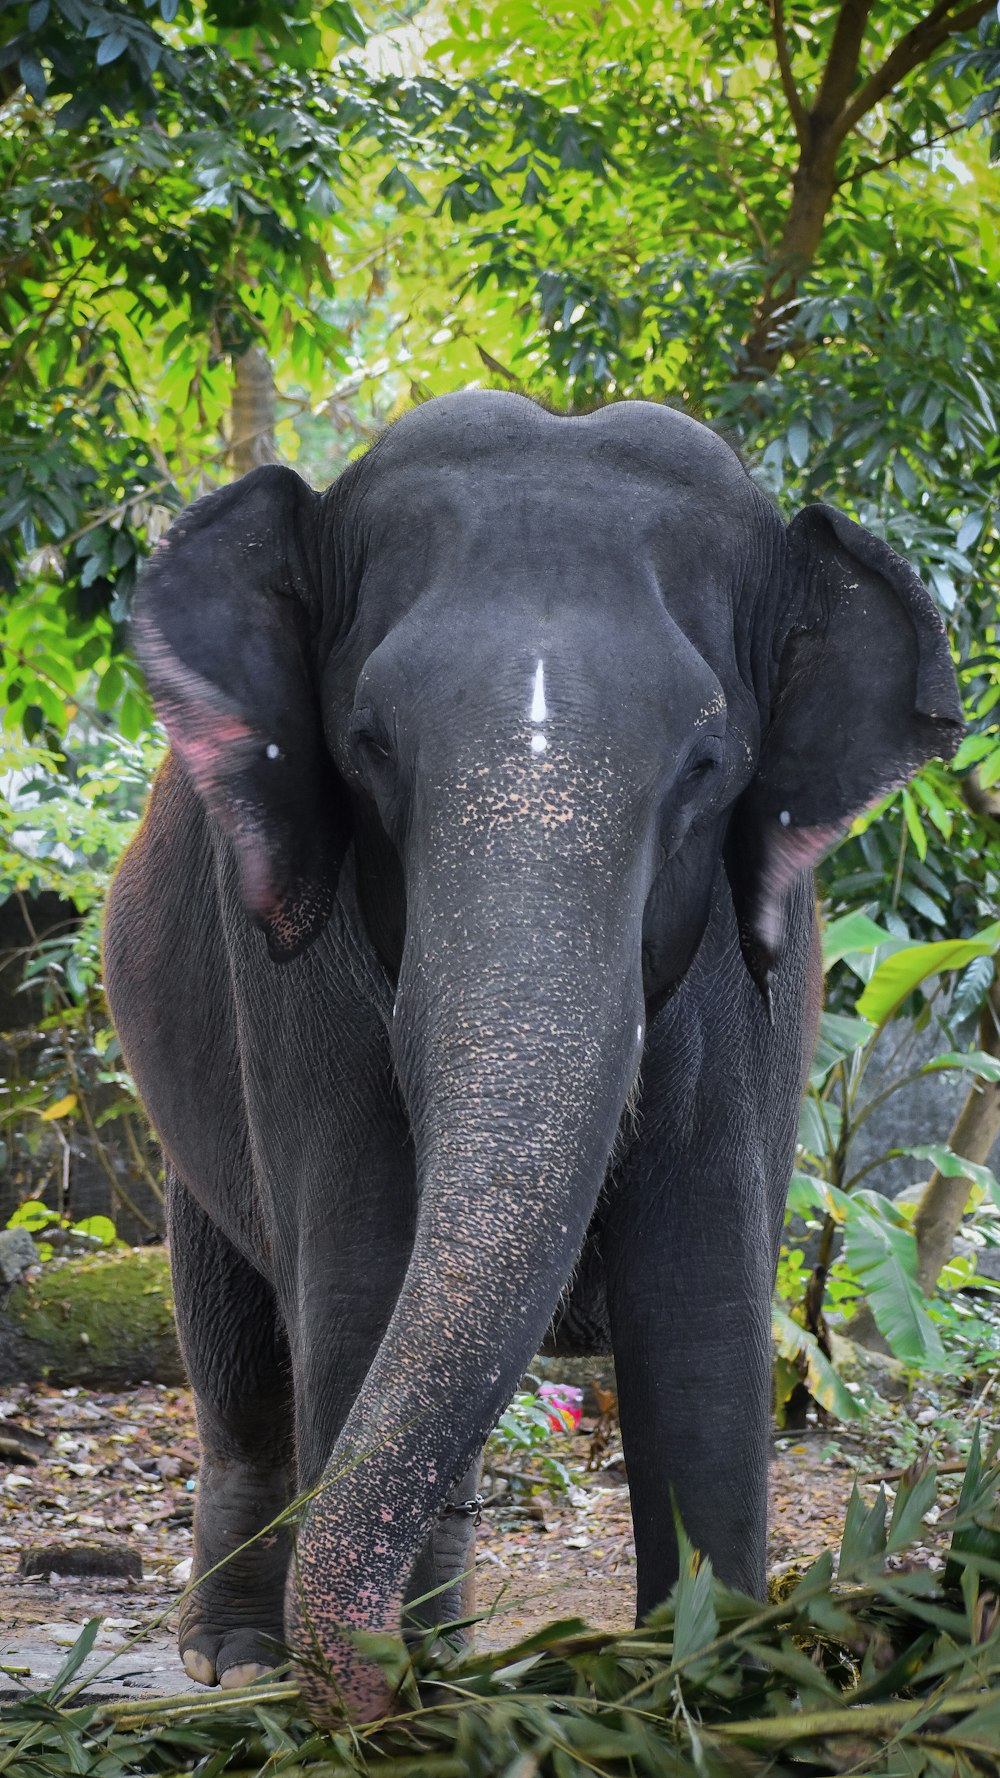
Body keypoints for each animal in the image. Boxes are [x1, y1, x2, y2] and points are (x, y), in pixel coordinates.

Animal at [101, 389, 960, 1721]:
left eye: (707, 764)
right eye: (368, 742)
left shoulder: (761, 956)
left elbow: (703, 1303)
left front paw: (711, 1679)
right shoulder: (288, 952)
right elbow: (361, 1271)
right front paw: (394, 1714)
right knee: (240, 1361)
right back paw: (242, 1656)